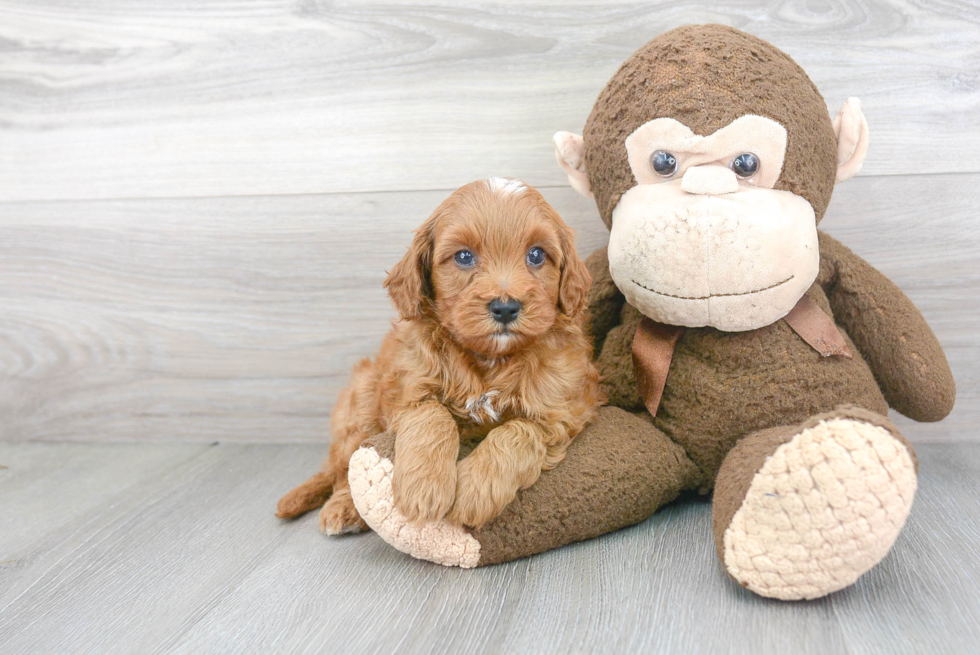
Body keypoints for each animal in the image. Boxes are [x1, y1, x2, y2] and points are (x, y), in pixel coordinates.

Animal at [276, 177, 604, 536]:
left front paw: (476, 490)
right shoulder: (410, 389)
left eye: (536, 255)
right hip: (362, 395)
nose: (505, 307)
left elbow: (516, 433)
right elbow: (433, 416)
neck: (488, 359)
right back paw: (342, 507)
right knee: (342, 466)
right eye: (463, 256)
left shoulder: (560, 411)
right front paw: (424, 488)